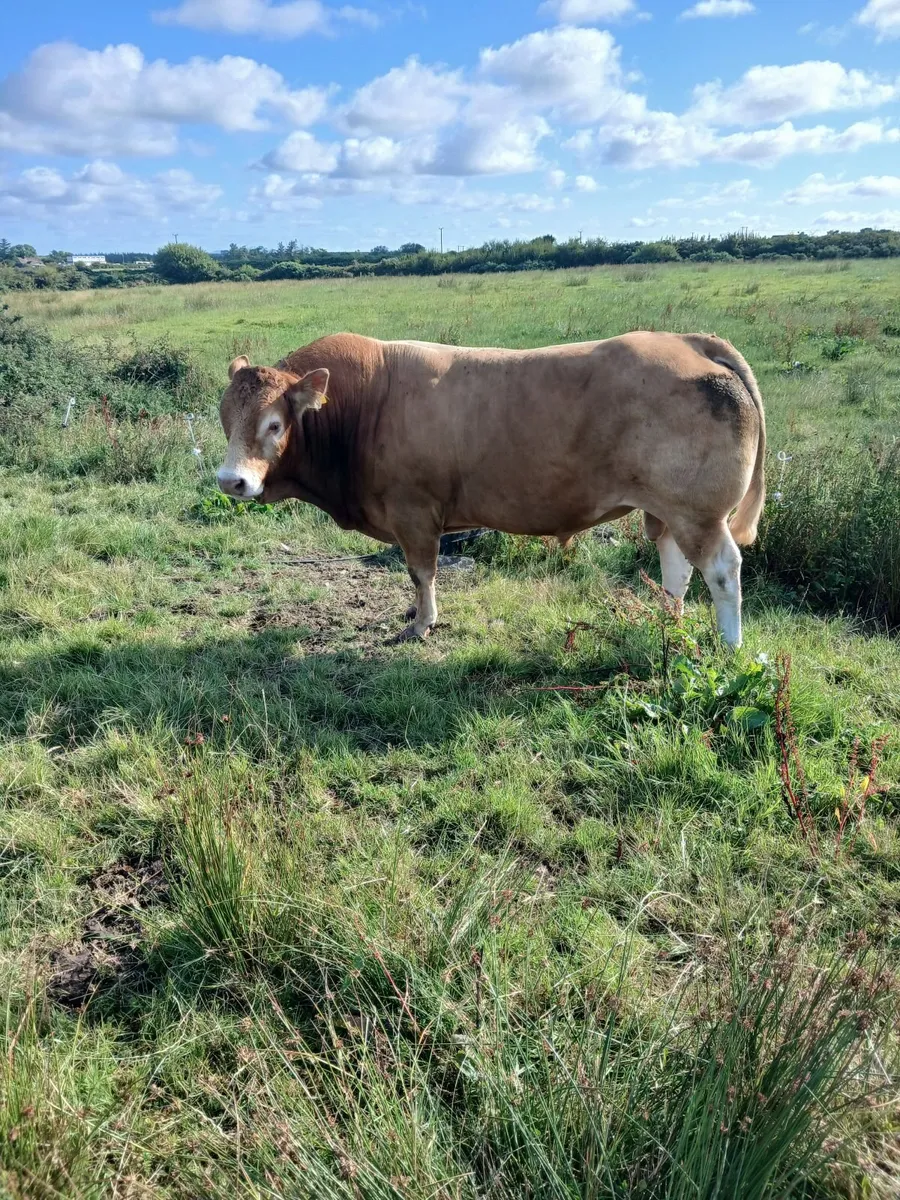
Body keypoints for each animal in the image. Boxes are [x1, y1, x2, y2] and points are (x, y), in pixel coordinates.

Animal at [216, 331, 765, 648]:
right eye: (225, 417)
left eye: (273, 424)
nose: (230, 480)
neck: (361, 405)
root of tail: (688, 341)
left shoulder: (413, 510)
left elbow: (421, 572)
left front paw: (421, 622)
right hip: (668, 509)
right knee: (677, 568)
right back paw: (668, 625)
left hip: (698, 513)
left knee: (722, 570)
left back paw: (730, 646)